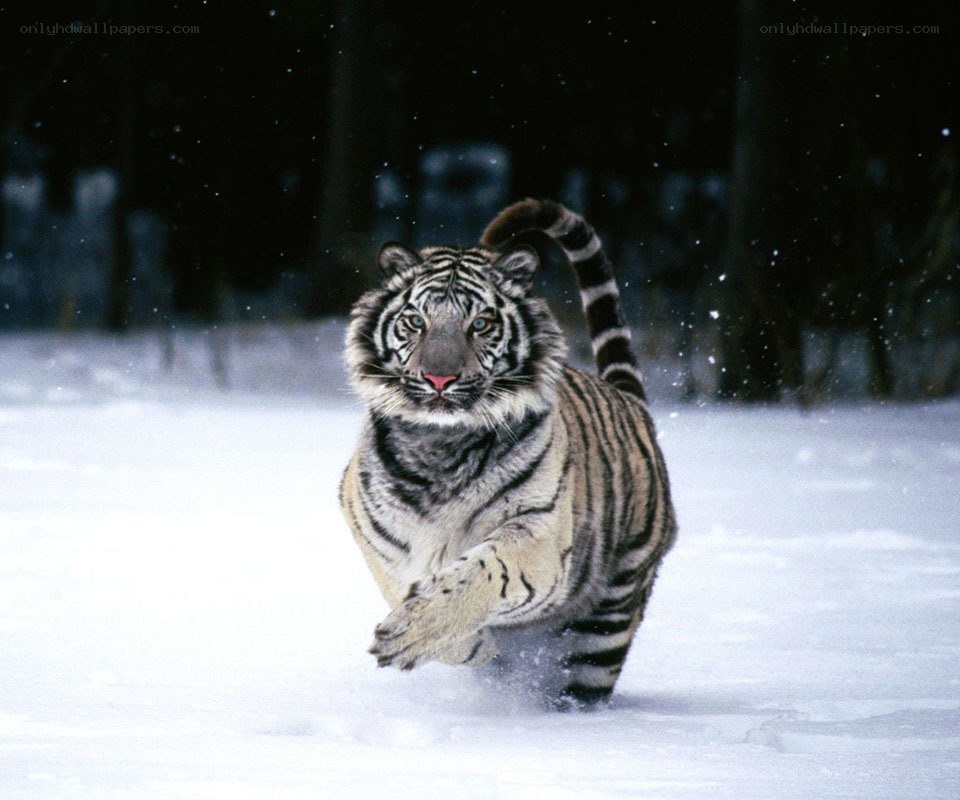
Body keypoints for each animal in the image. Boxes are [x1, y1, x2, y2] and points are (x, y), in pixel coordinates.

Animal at [339, 198, 677, 707]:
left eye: (480, 324)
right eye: (416, 321)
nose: (439, 379)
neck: (440, 445)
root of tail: (631, 402)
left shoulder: (539, 531)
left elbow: (479, 573)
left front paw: (414, 632)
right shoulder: (375, 533)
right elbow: (404, 586)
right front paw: (471, 647)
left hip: (608, 621)